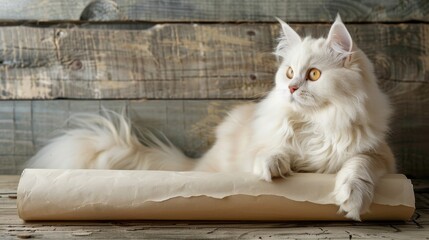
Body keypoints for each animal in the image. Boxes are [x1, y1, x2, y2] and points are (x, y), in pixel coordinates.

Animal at [27, 15, 394, 220]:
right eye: (290, 72)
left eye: (314, 75)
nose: (291, 88)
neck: (319, 122)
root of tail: (197, 163)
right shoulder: (265, 141)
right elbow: (271, 149)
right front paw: (273, 166)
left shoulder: (380, 155)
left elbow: (358, 165)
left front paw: (353, 197)